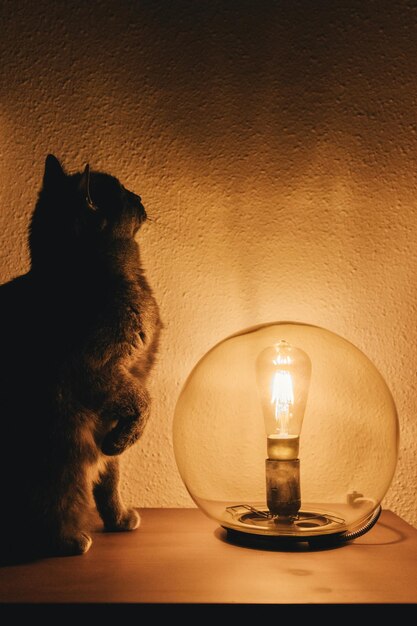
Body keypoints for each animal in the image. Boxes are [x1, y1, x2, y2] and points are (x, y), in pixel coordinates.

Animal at [0, 154, 161, 560]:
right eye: (122, 193)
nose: (139, 195)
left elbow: (110, 476)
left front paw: (119, 518)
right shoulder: (100, 370)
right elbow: (144, 402)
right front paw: (128, 437)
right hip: (63, 442)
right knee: (51, 501)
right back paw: (69, 541)